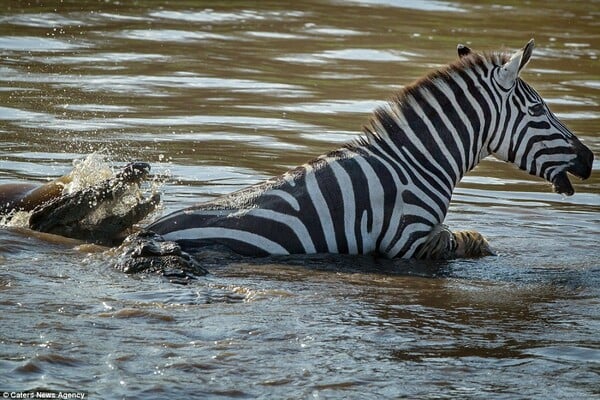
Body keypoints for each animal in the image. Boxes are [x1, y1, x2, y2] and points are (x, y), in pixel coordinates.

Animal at [143, 39, 592, 260]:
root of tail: (145, 231)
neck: (418, 162)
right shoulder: (406, 239)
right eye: (538, 110)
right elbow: (461, 239)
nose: (589, 158)